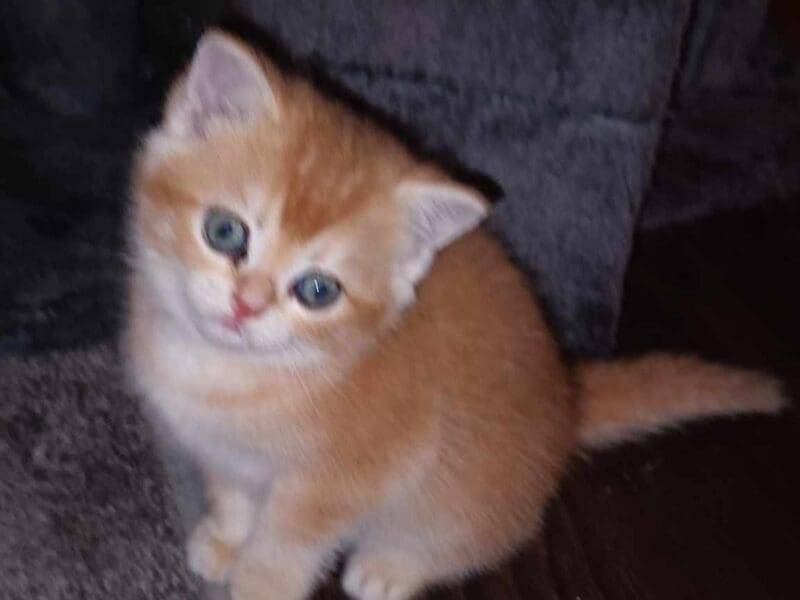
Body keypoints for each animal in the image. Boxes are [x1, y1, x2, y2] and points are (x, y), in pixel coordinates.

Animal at [125, 30, 788, 600]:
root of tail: (569, 401)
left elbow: (285, 548)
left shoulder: (338, 486)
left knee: (472, 540)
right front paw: (223, 541)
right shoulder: (223, 454)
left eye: (317, 290)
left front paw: (256, 585)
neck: (236, 374)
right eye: (224, 231)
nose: (246, 304)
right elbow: (235, 499)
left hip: (460, 503)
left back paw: (390, 567)